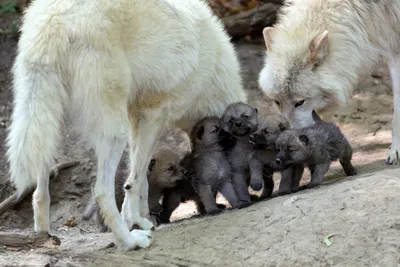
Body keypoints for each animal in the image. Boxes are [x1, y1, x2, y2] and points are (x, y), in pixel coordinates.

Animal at [6, 0, 247, 251]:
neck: (213, 73)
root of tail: (53, 19)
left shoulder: (136, 119)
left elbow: (141, 179)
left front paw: (143, 218)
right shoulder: (153, 117)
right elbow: (136, 180)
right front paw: (136, 222)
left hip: (50, 125)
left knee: (39, 193)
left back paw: (43, 239)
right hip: (114, 134)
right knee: (101, 192)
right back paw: (130, 241)